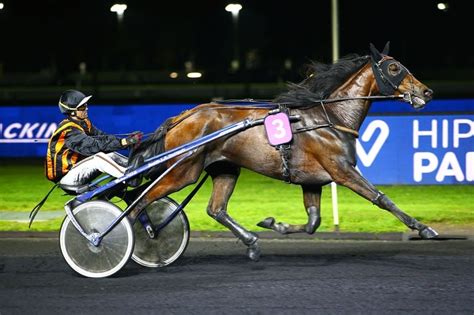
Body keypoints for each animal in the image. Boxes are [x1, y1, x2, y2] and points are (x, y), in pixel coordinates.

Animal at [127, 43, 436, 262]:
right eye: (394, 68)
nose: (427, 92)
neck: (330, 117)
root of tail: (184, 116)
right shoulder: (342, 171)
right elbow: (382, 199)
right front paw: (423, 228)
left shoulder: (312, 180)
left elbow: (313, 222)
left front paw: (274, 224)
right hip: (183, 171)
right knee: (140, 200)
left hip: (225, 168)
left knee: (216, 209)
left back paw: (251, 243)